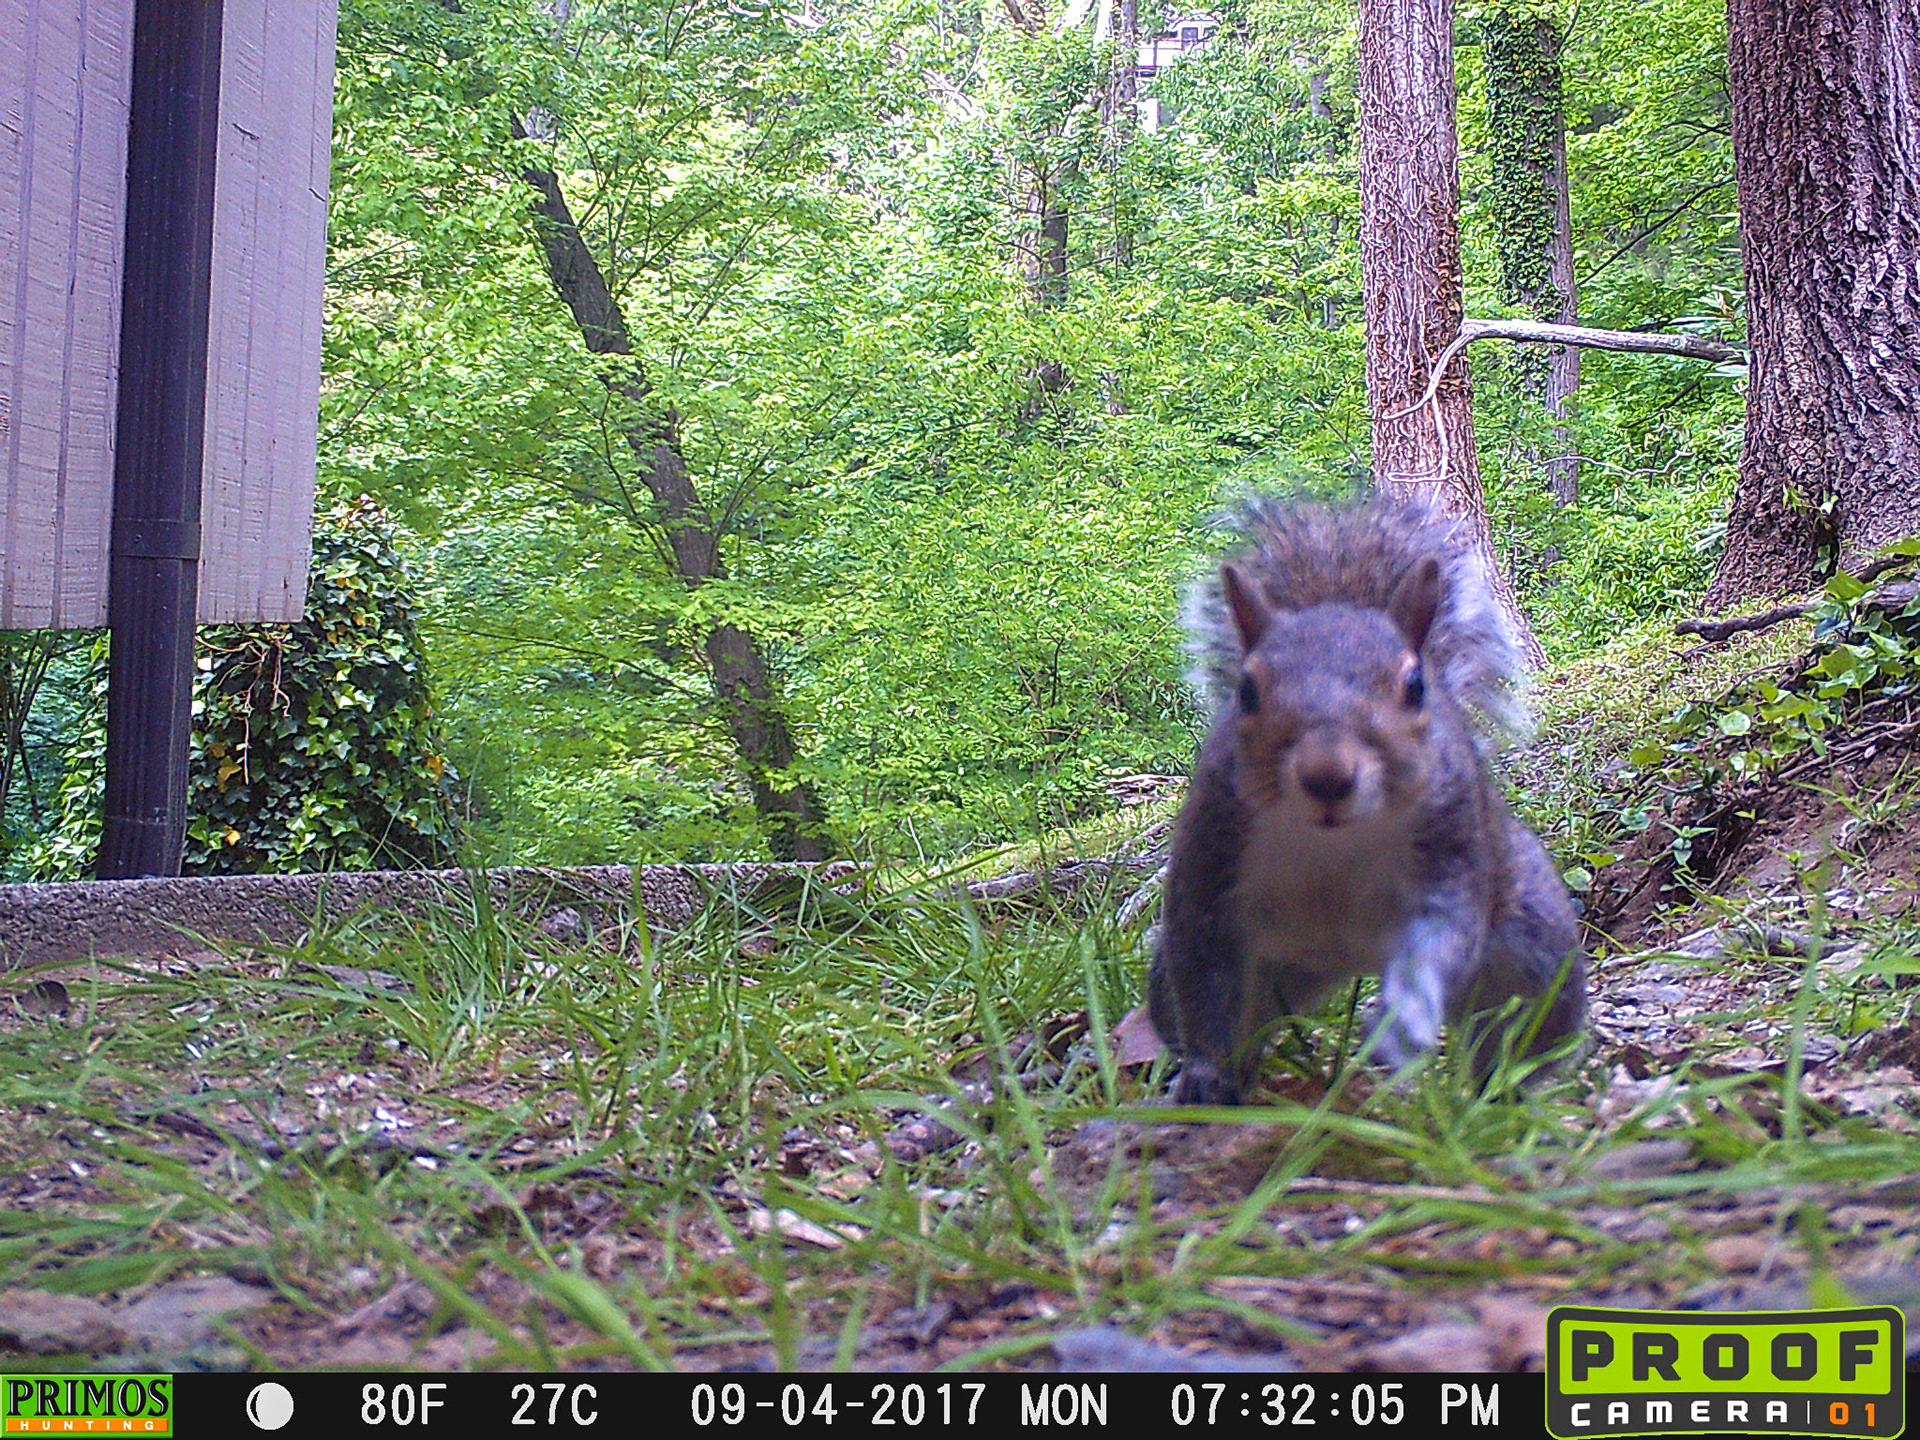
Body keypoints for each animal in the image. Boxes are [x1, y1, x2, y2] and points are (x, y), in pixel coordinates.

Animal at [1146, 495, 1585, 1104]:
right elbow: (1204, 982)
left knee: (1516, 1035)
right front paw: (1208, 1078)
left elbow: (1444, 938)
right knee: (1219, 1015)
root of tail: (1344, 964)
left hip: (1536, 951)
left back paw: (1501, 1095)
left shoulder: (1452, 848)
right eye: (1247, 691)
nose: (1328, 776)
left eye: (1415, 687)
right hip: (1258, 976)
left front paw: (1400, 1023)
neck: (1335, 842)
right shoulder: (1211, 858)